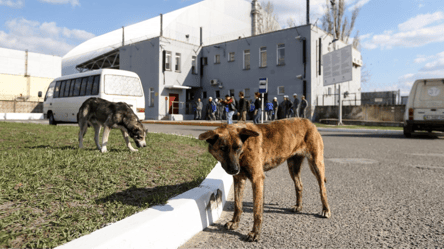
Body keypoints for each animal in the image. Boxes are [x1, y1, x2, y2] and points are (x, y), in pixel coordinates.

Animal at [198, 118, 330, 241]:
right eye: (222, 148)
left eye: (238, 148)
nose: (235, 169)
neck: (245, 147)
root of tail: (308, 121)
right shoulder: (239, 179)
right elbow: (237, 204)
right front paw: (235, 222)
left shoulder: (257, 179)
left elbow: (257, 210)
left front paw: (255, 233)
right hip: (293, 166)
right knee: (299, 185)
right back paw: (299, 206)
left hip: (316, 164)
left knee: (322, 188)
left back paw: (326, 209)